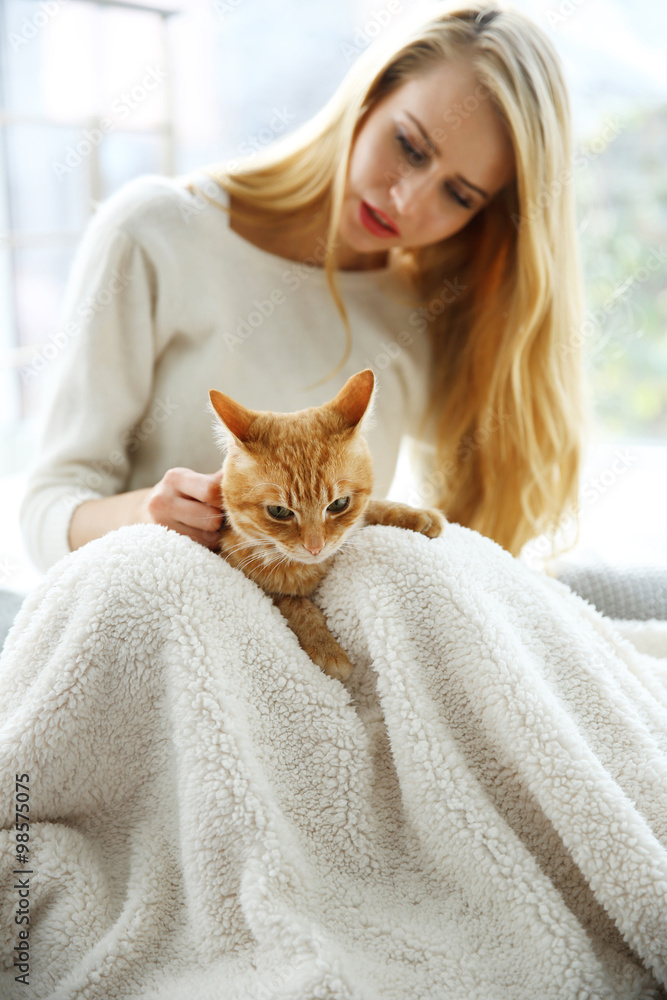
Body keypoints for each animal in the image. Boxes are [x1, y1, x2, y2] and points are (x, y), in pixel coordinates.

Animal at [211, 368, 446, 680]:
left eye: (338, 504)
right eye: (278, 511)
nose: (315, 547)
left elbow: (370, 509)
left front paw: (415, 515)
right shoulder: (249, 577)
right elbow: (294, 602)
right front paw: (326, 647)